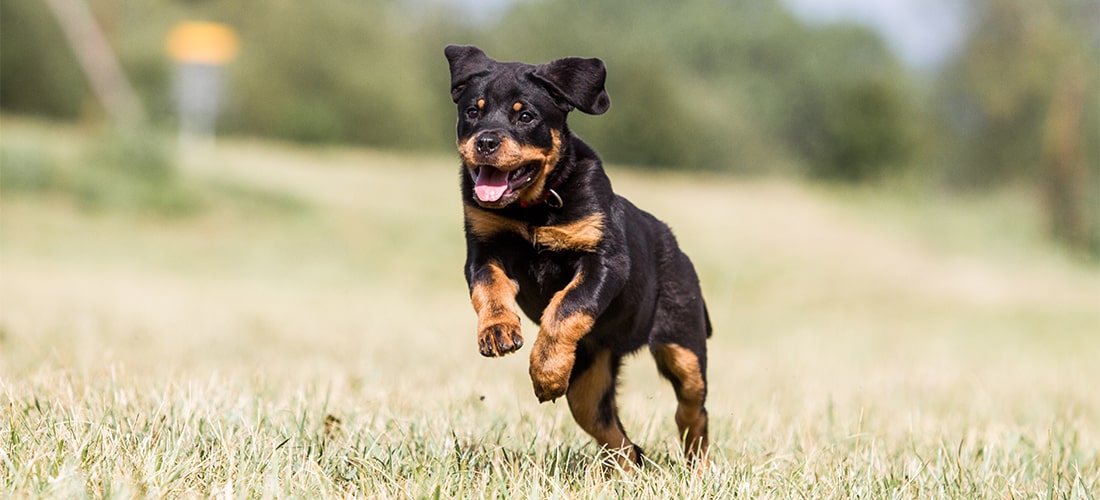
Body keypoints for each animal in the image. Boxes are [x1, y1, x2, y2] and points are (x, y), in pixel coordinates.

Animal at [446, 45, 712, 468]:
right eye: (473, 111)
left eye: (526, 116)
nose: (485, 142)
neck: (533, 207)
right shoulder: (485, 248)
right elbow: (488, 289)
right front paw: (499, 331)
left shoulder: (603, 261)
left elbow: (567, 306)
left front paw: (545, 371)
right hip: (589, 377)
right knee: (617, 437)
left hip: (683, 345)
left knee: (692, 409)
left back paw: (696, 465)